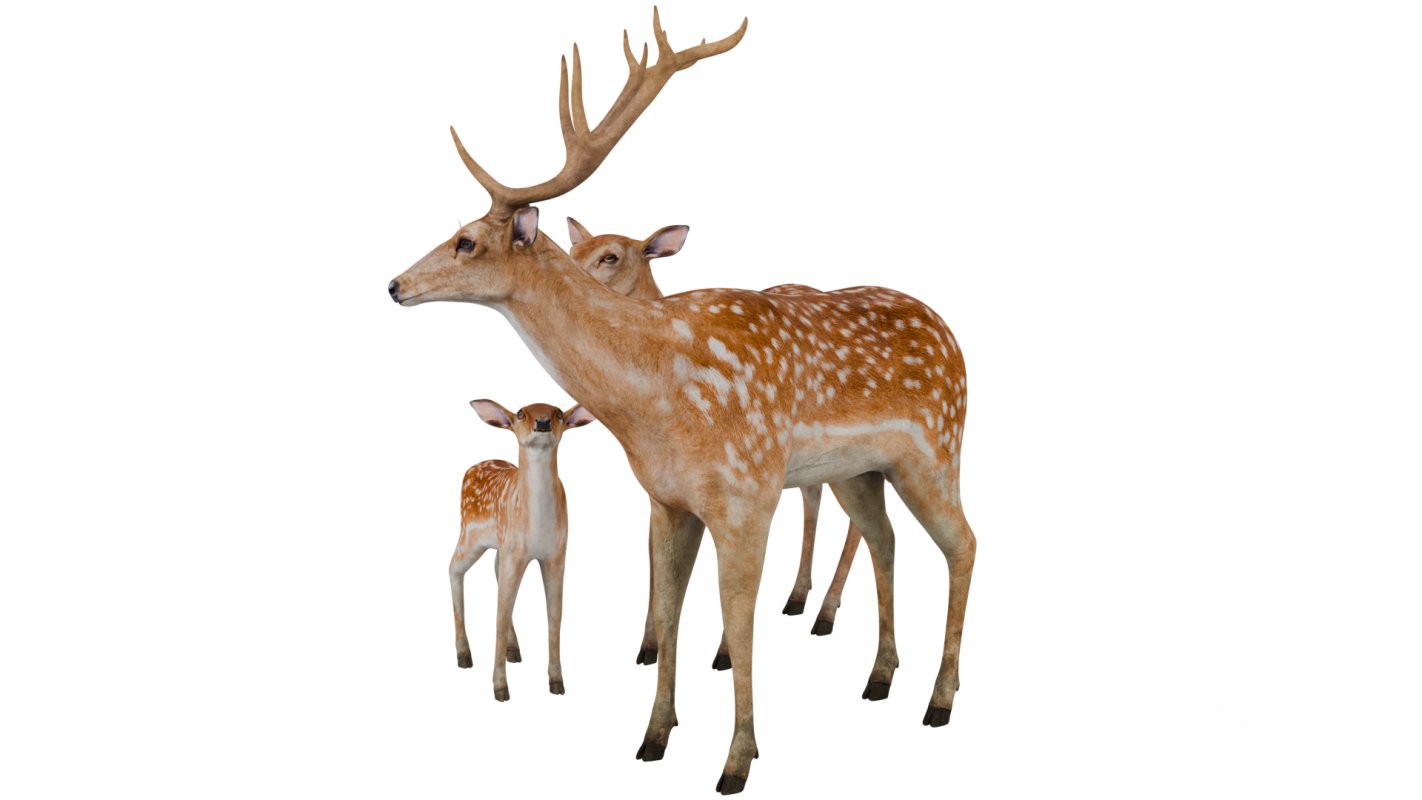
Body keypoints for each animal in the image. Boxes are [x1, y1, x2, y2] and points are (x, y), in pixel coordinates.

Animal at [451, 399, 596, 702]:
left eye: (559, 413)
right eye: (520, 413)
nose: (542, 423)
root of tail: (471, 468)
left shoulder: (557, 554)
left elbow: (555, 618)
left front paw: (557, 683)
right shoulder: (516, 553)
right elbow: (499, 616)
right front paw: (500, 688)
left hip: (499, 545)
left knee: (493, 571)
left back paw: (513, 649)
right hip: (470, 534)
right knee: (452, 568)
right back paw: (464, 655)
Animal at [565, 218, 868, 663]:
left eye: (611, 257)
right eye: (572, 250)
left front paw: (721, 652)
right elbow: (655, 557)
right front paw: (648, 646)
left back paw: (825, 613)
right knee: (813, 496)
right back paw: (797, 597)